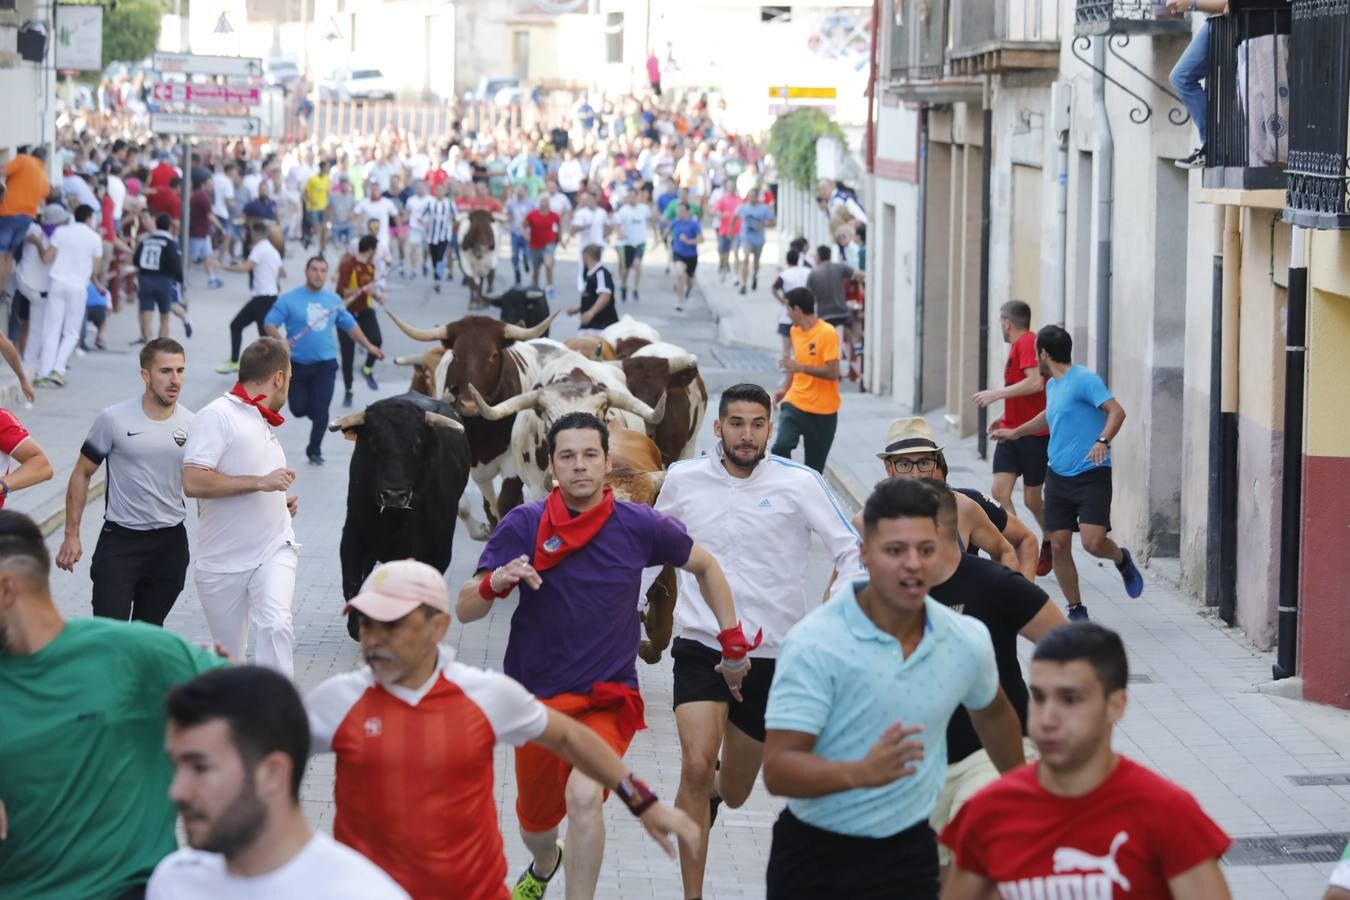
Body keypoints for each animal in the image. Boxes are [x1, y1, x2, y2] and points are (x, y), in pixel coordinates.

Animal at [330, 394, 469, 639]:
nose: (394, 495)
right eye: (372, 440)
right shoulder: (353, 537)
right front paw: (358, 625)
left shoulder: (437, 552)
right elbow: (353, 582)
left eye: (417, 442)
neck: (393, 521)